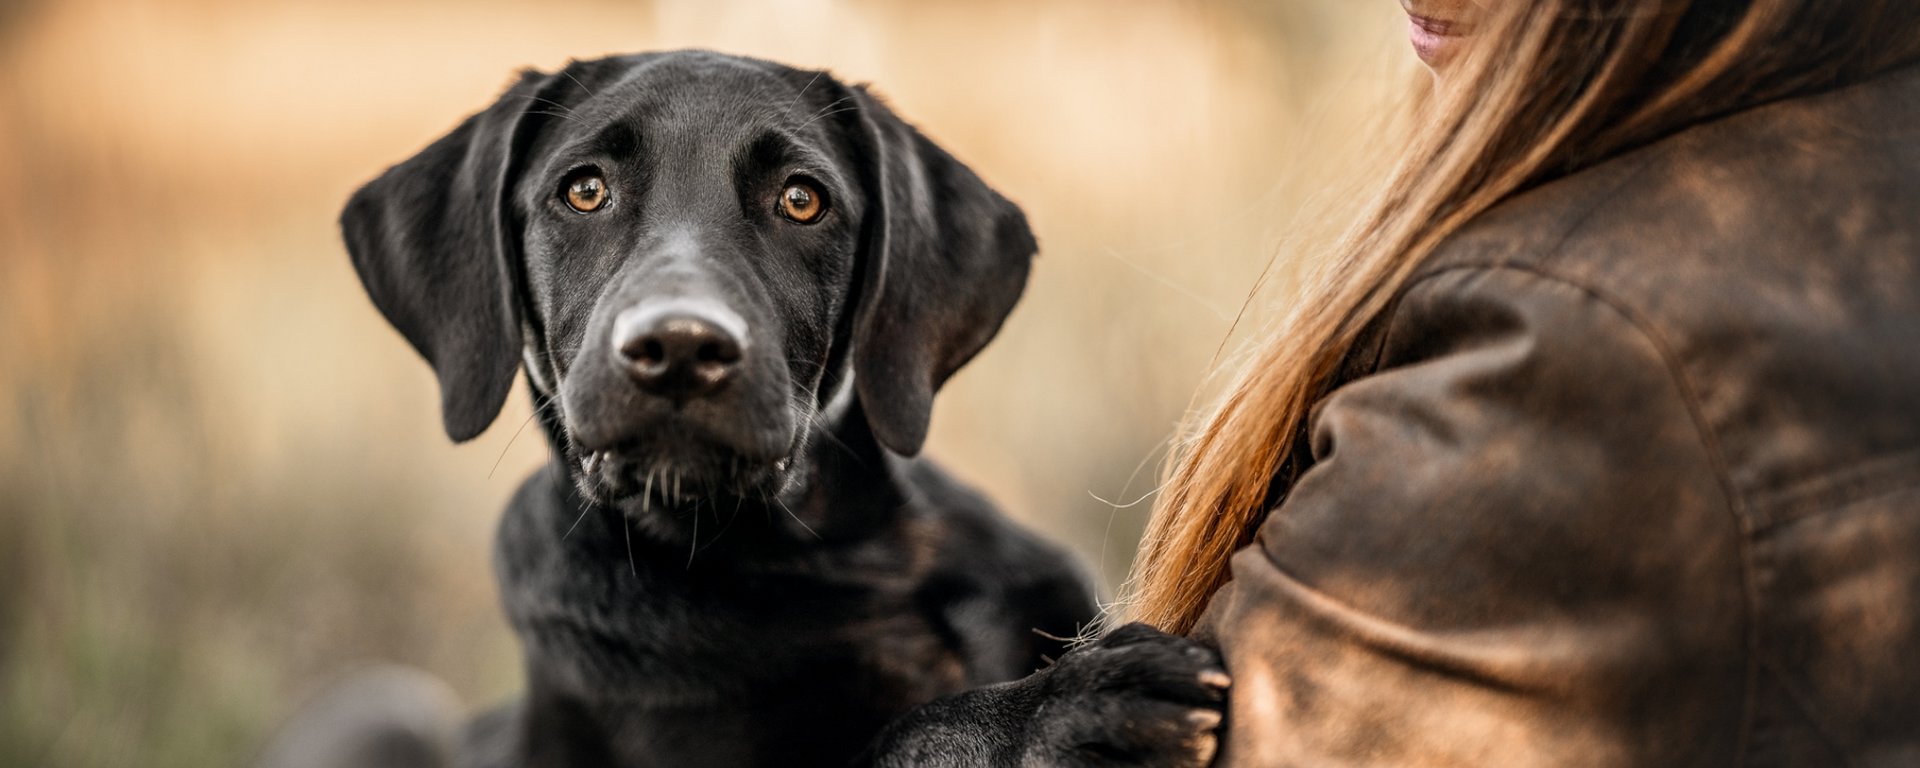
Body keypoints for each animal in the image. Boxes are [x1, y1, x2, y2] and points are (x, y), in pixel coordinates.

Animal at [339, 49, 1113, 768]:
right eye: (585, 189)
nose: (680, 346)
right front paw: (1065, 704)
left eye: (802, 200)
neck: (835, 561)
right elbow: (907, 731)